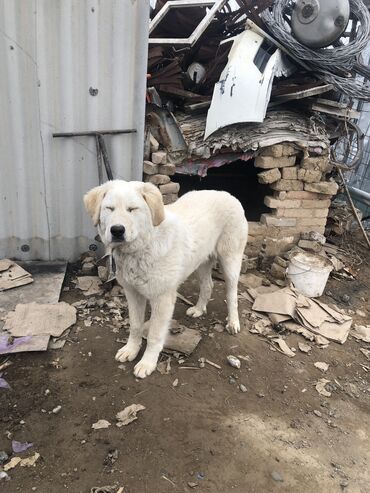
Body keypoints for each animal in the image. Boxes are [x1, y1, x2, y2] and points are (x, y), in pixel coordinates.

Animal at [84, 180, 249, 376]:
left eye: (132, 209)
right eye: (109, 208)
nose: (117, 230)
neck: (143, 247)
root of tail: (226, 194)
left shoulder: (162, 300)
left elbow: (154, 336)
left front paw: (147, 363)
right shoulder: (133, 294)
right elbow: (135, 326)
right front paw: (131, 350)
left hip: (230, 260)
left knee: (232, 295)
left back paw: (233, 322)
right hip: (201, 262)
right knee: (208, 285)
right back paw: (199, 309)